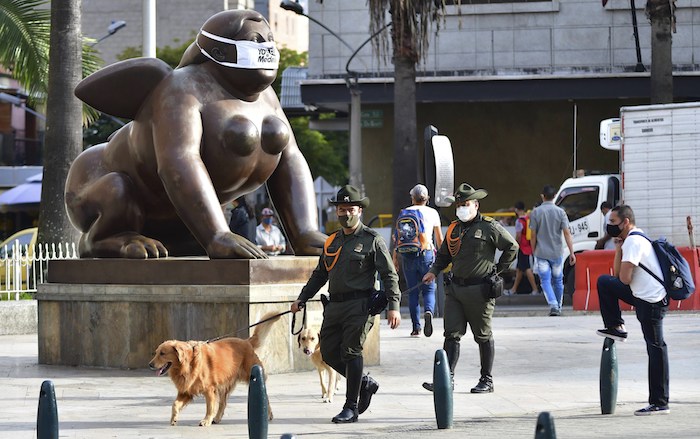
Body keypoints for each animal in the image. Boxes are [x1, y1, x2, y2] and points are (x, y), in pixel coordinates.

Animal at [150, 312, 282, 428]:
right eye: (156, 353)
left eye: (162, 353)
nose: (150, 365)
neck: (189, 363)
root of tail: (246, 342)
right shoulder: (186, 391)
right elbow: (175, 404)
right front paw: (174, 419)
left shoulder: (210, 389)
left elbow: (209, 407)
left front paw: (206, 420)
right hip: (224, 384)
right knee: (223, 404)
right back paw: (217, 418)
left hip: (251, 376)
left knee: (265, 397)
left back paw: (268, 414)